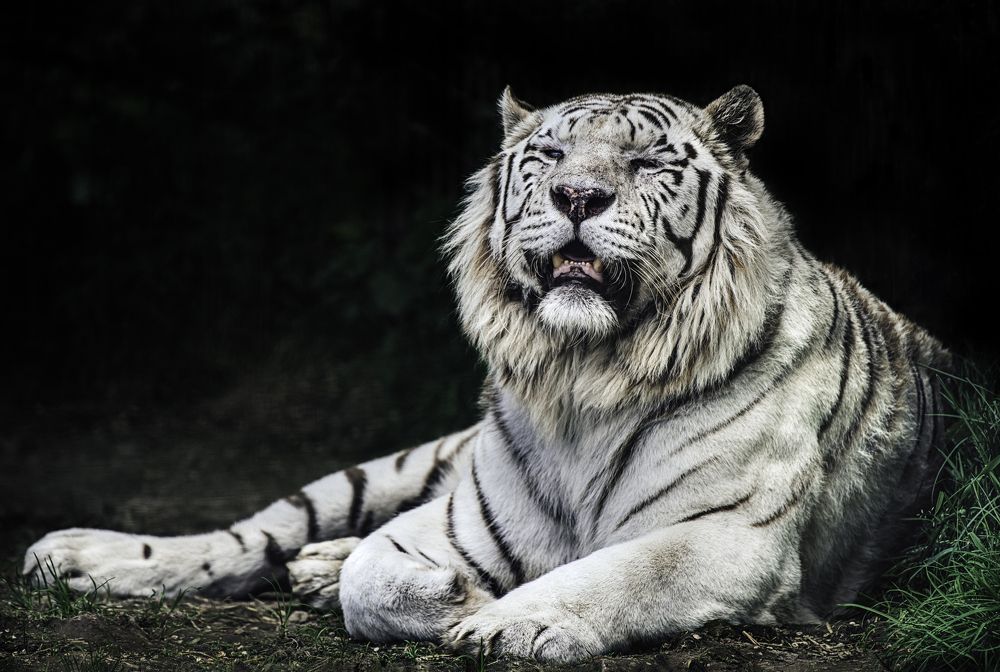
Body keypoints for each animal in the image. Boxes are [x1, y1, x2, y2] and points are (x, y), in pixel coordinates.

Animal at [24, 85, 951, 662]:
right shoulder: (461, 518)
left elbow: (621, 572)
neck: (586, 379)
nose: (579, 197)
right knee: (248, 536)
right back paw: (76, 555)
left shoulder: (727, 536)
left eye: (646, 164)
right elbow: (372, 572)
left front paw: (514, 621)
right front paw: (456, 597)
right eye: (550, 155)